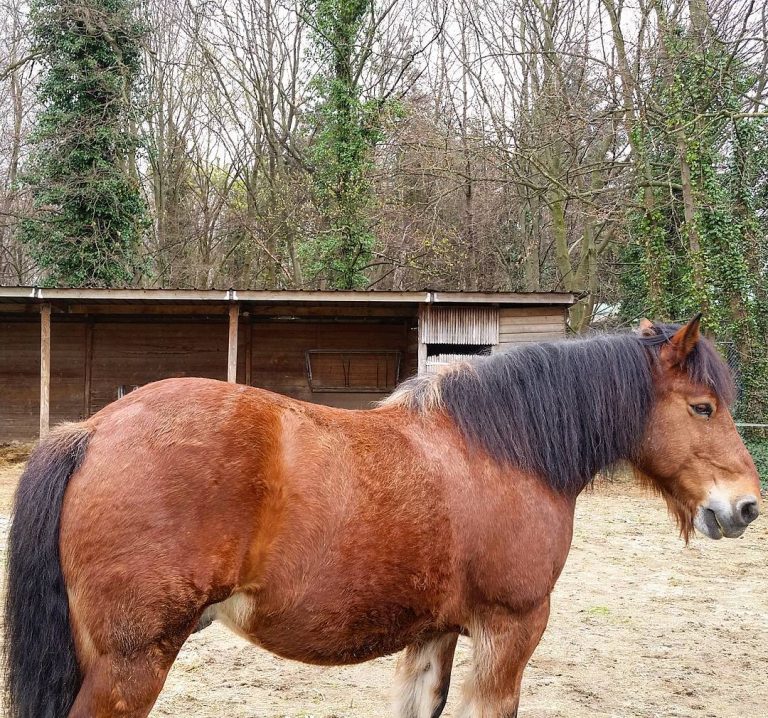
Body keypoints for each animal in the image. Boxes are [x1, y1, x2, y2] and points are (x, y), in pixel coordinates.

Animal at [4, 316, 761, 718]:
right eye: (702, 407)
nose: (746, 505)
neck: (504, 449)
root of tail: (92, 431)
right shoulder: (509, 632)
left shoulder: (435, 637)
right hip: (131, 664)